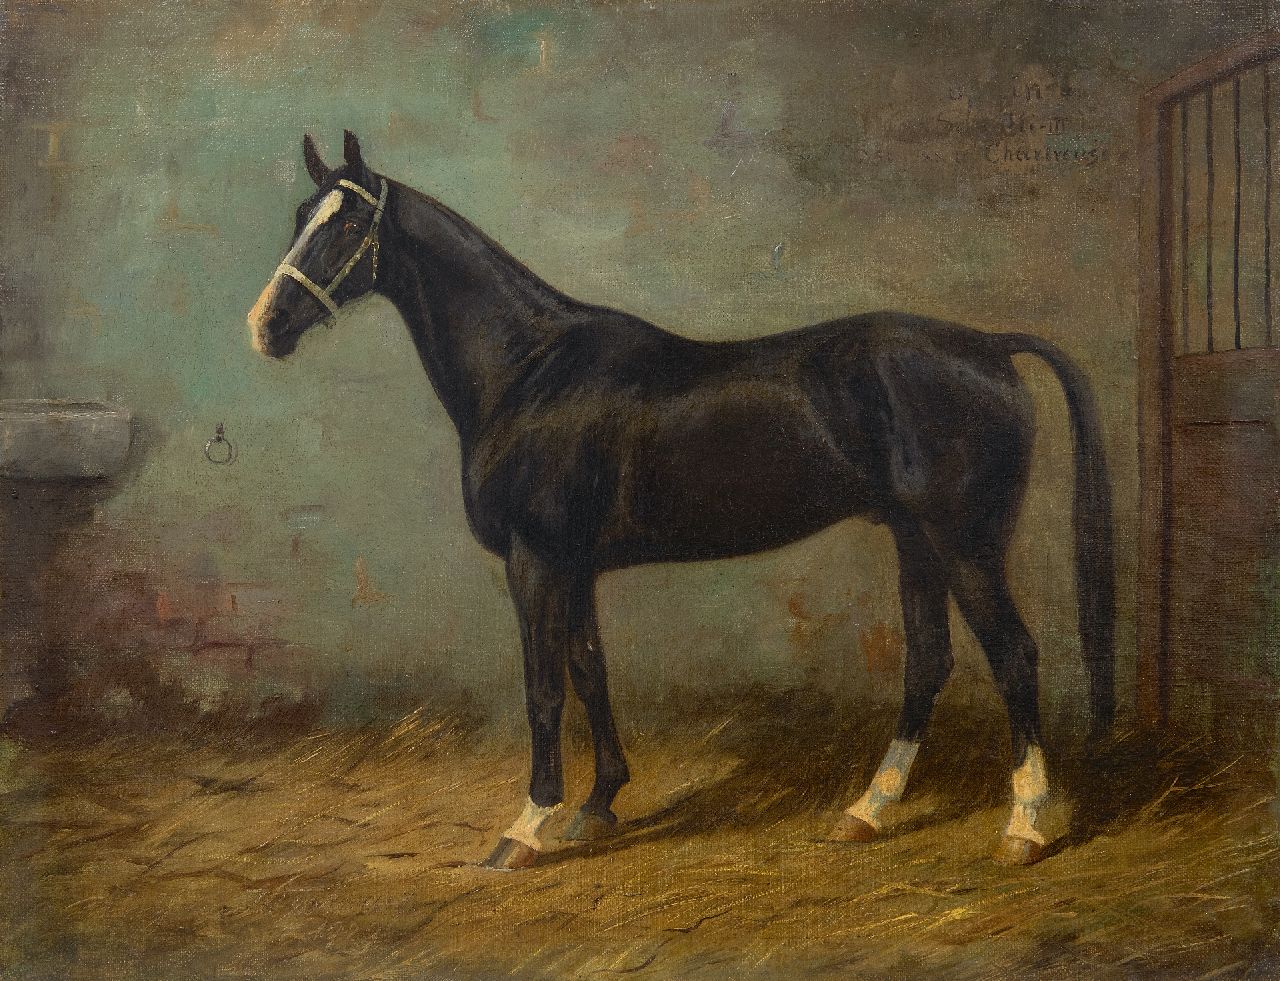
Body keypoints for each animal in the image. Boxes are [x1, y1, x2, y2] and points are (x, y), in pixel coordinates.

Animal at [248, 131, 1114, 870]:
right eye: (297, 218)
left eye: (346, 221)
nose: (267, 326)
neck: (531, 370)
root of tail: (989, 346)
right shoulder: (576, 565)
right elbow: (591, 670)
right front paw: (597, 805)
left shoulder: (536, 561)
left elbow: (543, 686)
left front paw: (526, 826)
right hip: (916, 540)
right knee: (929, 659)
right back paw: (867, 811)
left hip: (965, 543)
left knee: (1015, 656)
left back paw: (1025, 826)